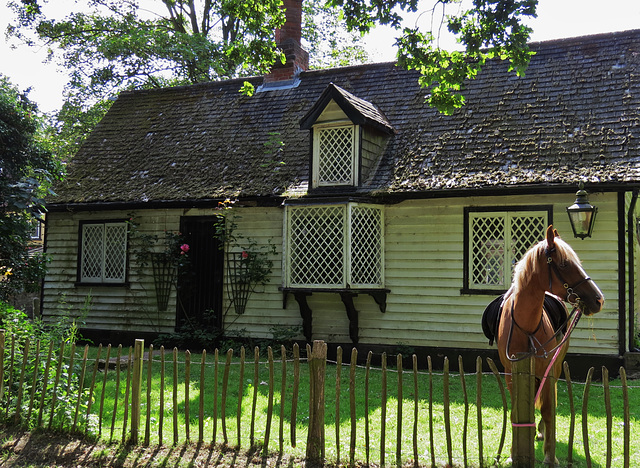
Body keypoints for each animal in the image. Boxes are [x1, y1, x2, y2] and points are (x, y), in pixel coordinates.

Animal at [482, 226, 604, 464]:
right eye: (564, 264)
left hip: (554, 368)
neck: (526, 326)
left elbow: (548, 409)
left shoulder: (547, 370)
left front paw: (550, 455)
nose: (598, 300)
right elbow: (516, 411)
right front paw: (514, 453)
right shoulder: (511, 373)